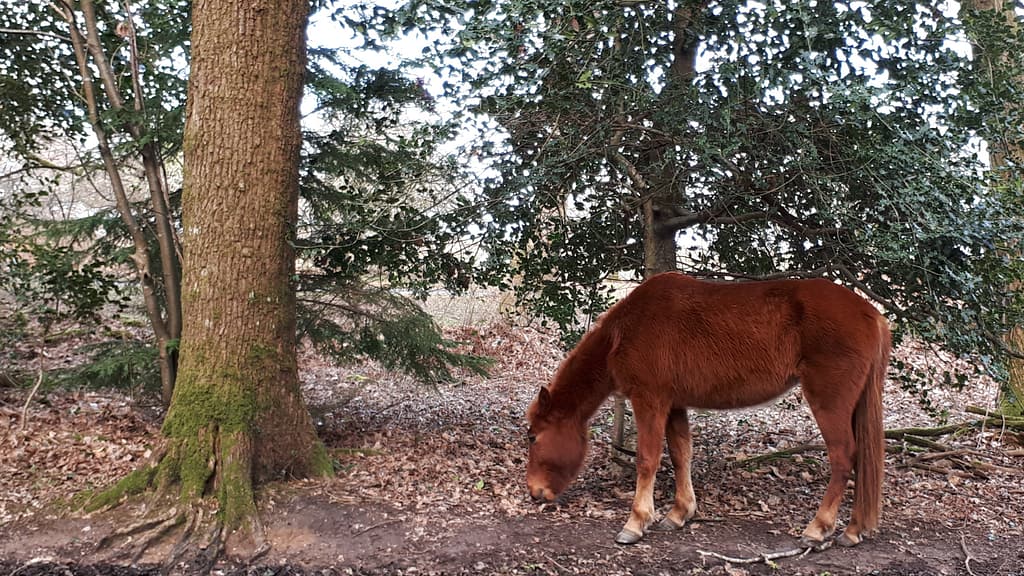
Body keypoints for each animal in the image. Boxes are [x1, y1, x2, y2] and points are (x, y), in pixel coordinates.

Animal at [526, 272, 890, 547]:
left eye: (533, 437)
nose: (534, 491)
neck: (626, 330)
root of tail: (870, 314)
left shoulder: (649, 401)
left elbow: (647, 459)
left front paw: (636, 522)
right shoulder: (673, 405)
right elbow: (680, 455)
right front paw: (679, 514)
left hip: (830, 402)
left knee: (844, 457)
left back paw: (818, 528)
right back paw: (852, 530)